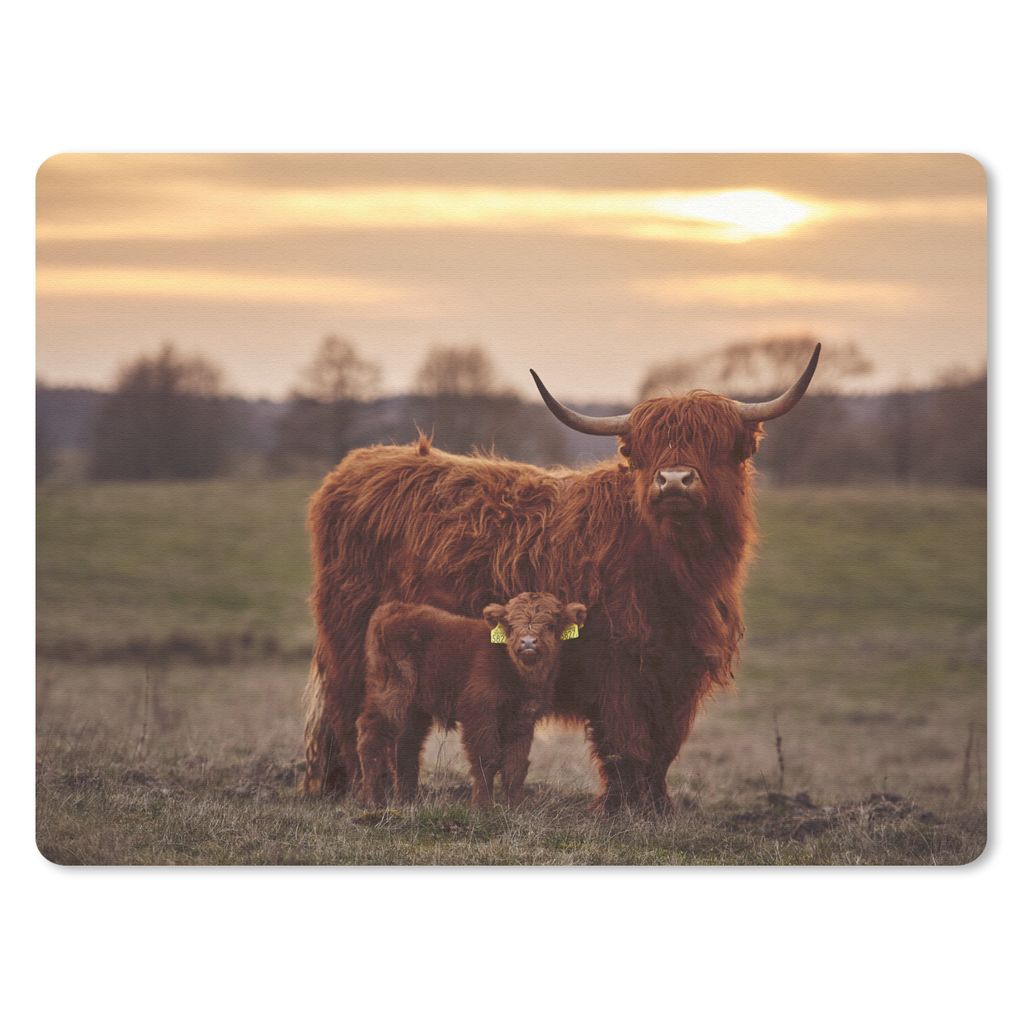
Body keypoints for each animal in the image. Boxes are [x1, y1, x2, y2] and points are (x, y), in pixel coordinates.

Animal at [356, 593, 588, 808]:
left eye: (550, 625)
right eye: (511, 625)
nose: (528, 642)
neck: (516, 670)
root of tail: (394, 609)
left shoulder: (523, 719)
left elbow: (515, 765)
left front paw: (516, 807)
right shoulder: (480, 713)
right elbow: (487, 759)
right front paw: (482, 806)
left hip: (414, 708)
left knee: (406, 745)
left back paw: (408, 800)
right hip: (391, 693)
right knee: (371, 736)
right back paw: (373, 801)